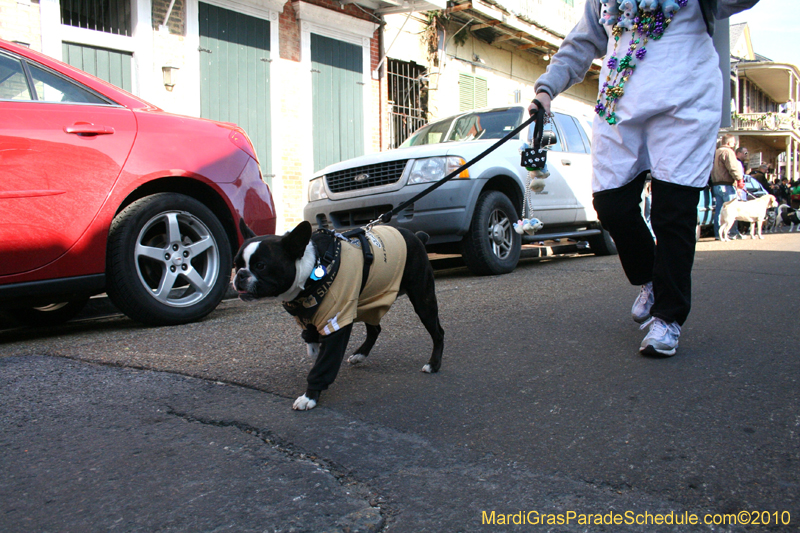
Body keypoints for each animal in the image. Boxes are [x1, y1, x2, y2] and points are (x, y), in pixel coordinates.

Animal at [231, 220, 444, 412]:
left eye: (261, 265)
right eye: (236, 263)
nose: (240, 274)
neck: (313, 268)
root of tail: (417, 236)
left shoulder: (336, 321)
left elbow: (323, 365)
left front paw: (309, 397)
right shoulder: (308, 318)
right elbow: (313, 345)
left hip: (422, 299)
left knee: (437, 332)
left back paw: (433, 364)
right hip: (368, 300)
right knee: (375, 328)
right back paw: (360, 354)